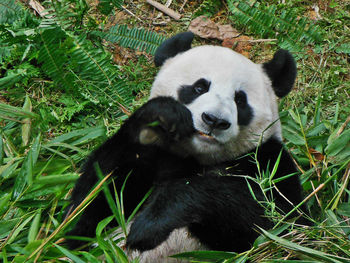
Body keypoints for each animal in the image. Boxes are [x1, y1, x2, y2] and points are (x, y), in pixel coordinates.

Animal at [67, 32, 308, 262]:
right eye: (199, 87)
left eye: (240, 100)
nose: (214, 120)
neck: (197, 157)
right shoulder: (156, 155)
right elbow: (88, 206)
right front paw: (164, 113)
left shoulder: (267, 161)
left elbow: (278, 221)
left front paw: (148, 226)